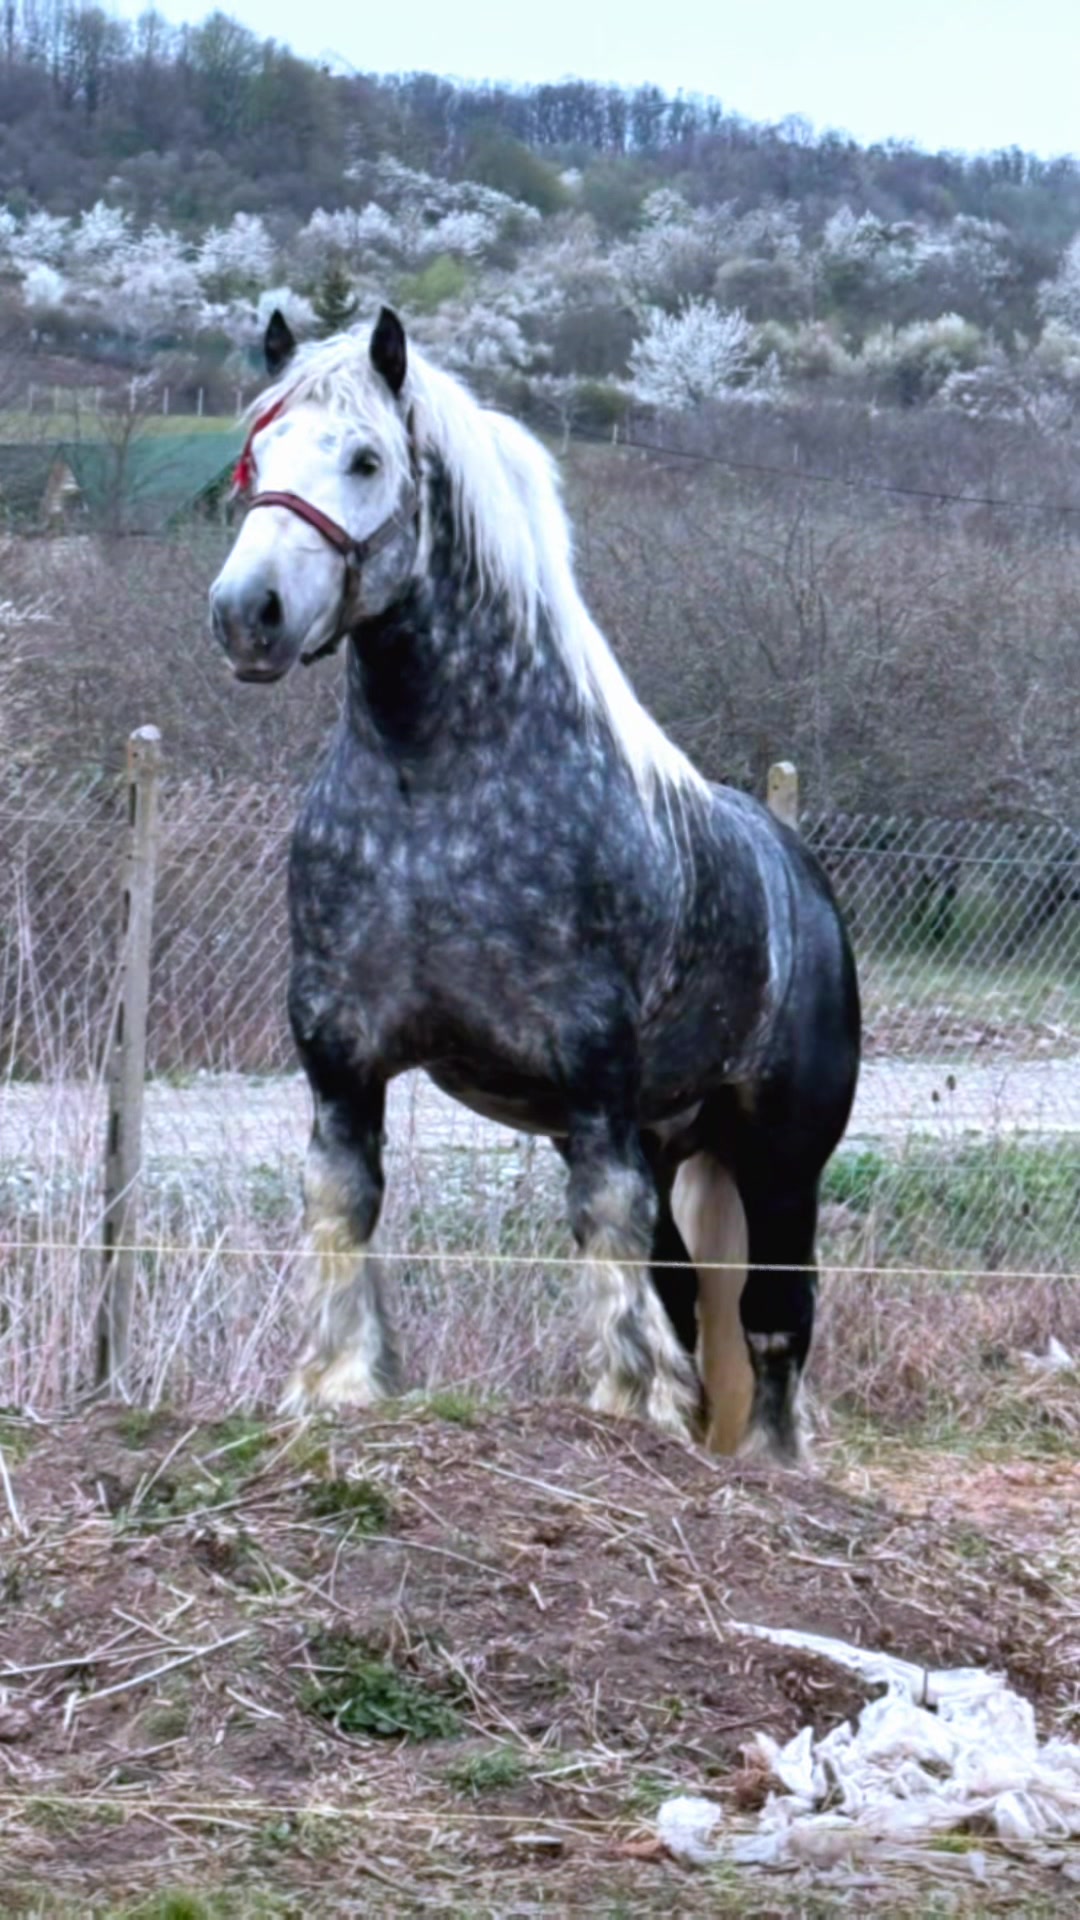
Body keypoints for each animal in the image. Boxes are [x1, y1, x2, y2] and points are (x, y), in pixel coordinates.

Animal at [209, 306, 860, 1463]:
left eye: (366, 459)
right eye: (257, 457)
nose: (251, 614)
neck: (435, 796)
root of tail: (802, 879)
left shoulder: (595, 1085)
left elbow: (605, 1228)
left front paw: (624, 1404)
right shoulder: (342, 1066)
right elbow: (344, 1206)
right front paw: (339, 1385)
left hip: (782, 1155)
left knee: (775, 1322)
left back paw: (774, 1462)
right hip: (676, 1136)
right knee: (690, 1295)